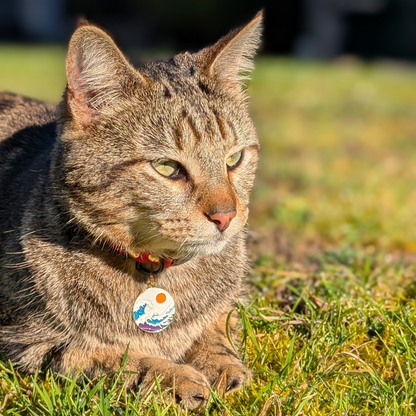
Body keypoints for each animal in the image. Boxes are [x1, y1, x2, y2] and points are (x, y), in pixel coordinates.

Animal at [0, 10, 264, 410]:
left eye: (234, 159)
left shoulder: (225, 306)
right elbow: (113, 357)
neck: (157, 270)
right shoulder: (29, 340)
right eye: (167, 168)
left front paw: (220, 363)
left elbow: (216, 329)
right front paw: (177, 377)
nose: (226, 215)